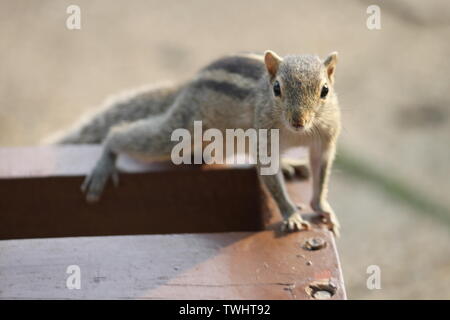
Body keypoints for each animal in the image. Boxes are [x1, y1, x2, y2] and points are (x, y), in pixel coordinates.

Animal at [52, 49, 342, 235]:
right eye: (277, 89)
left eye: (325, 90)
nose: (298, 121)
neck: (298, 134)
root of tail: (187, 86)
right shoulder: (265, 138)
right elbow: (272, 180)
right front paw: (291, 215)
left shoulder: (324, 141)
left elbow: (321, 172)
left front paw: (322, 207)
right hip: (179, 131)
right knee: (120, 134)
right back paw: (105, 162)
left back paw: (290, 164)